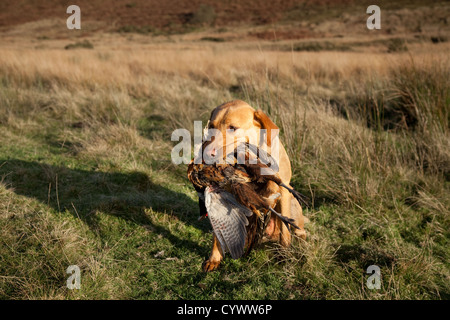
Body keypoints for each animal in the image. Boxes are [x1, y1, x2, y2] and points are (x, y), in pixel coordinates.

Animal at [200, 99, 306, 270]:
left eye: (232, 127)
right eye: (211, 126)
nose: (206, 153)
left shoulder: (283, 192)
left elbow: (285, 231)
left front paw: (284, 256)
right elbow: (217, 233)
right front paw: (214, 258)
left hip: (293, 204)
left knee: (297, 230)